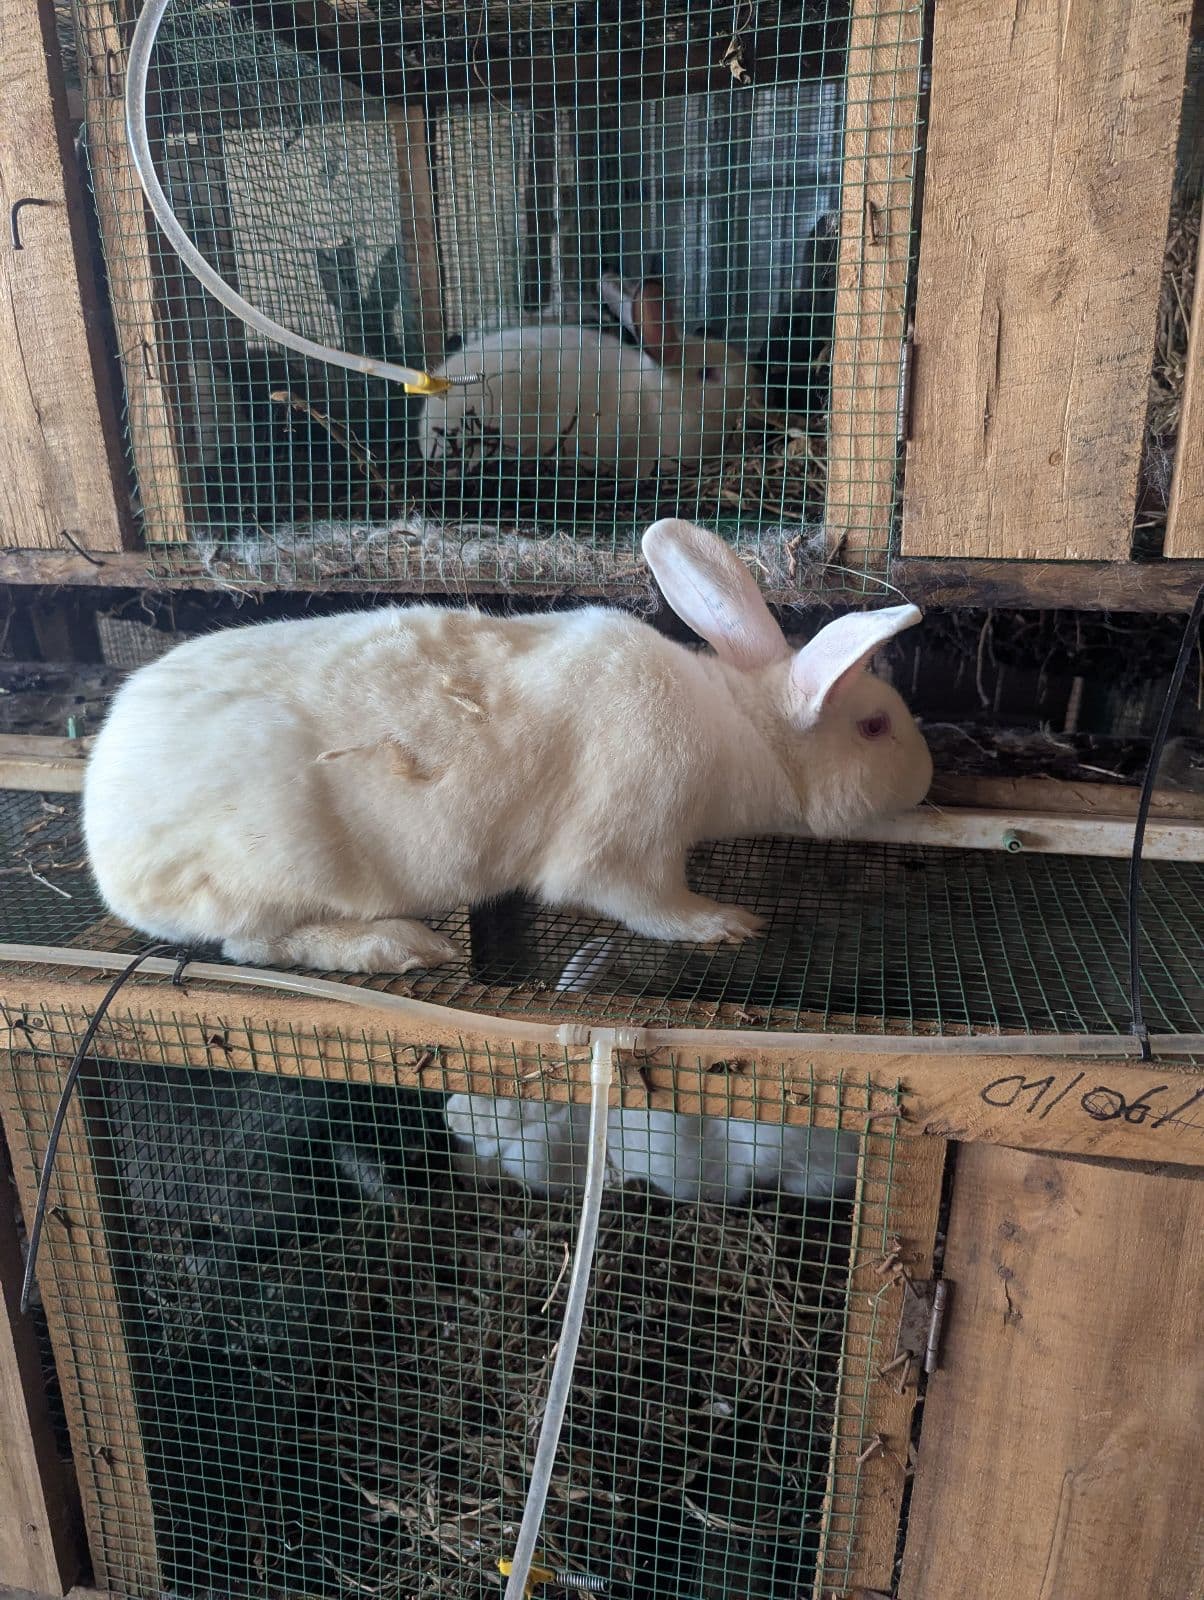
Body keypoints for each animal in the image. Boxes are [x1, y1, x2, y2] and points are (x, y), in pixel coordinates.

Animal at [83, 517, 931, 975]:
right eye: (874, 726)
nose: (927, 781)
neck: (740, 728)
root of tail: (103, 830)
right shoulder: (628, 846)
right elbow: (645, 902)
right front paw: (725, 923)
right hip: (276, 873)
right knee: (255, 945)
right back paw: (403, 946)